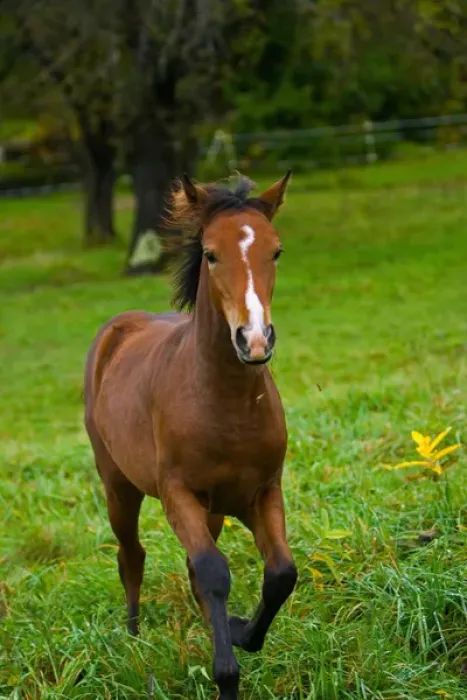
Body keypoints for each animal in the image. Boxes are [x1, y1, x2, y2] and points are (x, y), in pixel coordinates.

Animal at [84, 171, 297, 699]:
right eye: (211, 254)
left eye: (276, 251)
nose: (254, 340)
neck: (226, 402)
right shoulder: (178, 494)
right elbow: (213, 572)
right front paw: (227, 674)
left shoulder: (261, 492)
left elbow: (280, 573)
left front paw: (240, 632)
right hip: (118, 487)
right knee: (131, 556)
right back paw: (133, 640)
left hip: (215, 509)